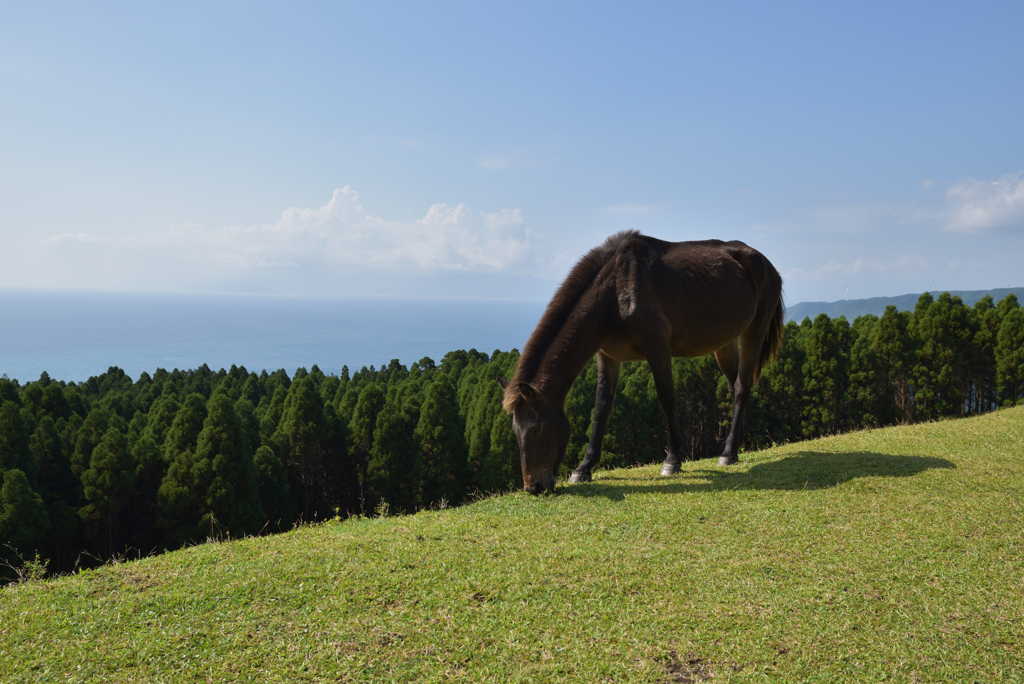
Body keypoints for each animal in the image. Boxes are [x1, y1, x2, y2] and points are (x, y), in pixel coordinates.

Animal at [495, 228, 782, 491]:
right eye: (515, 432)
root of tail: (767, 264)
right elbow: (601, 408)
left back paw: (728, 452)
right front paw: (584, 467)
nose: (533, 486)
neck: (614, 292)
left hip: (754, 331)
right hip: (724, 342)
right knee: (734, 387)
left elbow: (667, 400)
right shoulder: (607, 356)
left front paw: (673, 460)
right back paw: (736, 446)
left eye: (536, 429)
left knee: (742, 388)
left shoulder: (658, 348)